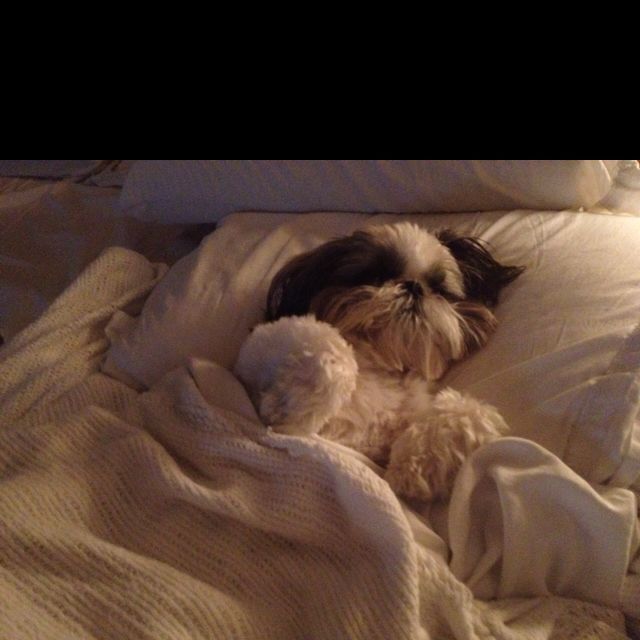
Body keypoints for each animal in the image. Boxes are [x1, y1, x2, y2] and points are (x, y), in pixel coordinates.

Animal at [232, 222, 524, 502]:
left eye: (439, 290)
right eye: (376, 276)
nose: (413, 286)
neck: (384, 365)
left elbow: (468, 411)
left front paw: (411, 472)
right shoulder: (255, 351)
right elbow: (329, 347)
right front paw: (286, 409)